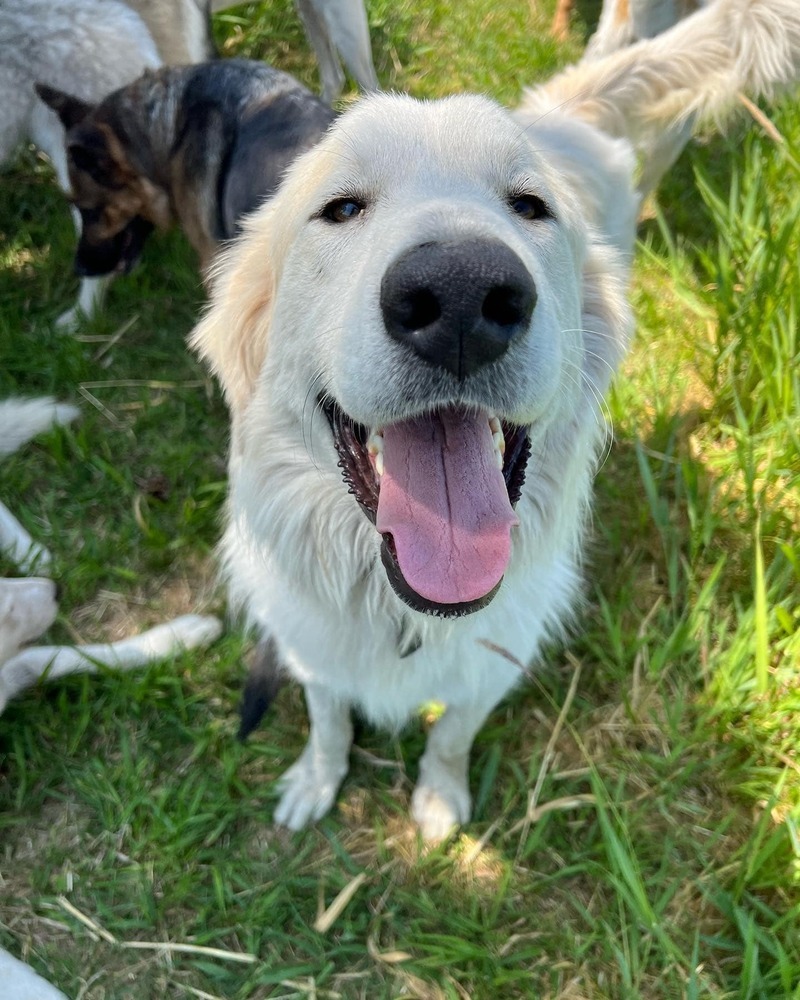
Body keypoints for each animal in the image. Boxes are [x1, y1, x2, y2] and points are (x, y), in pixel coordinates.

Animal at [194, 0, 800, 844]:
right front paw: (317, 781)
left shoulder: (491, 664)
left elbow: (450, 734)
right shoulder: (314, 652)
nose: (460, 295)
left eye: (530, 205)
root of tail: (565, 114)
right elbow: (328, 720)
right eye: (341, 208)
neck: (402, 607)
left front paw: (439, 800)